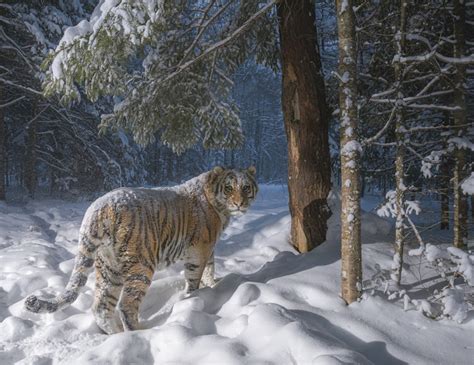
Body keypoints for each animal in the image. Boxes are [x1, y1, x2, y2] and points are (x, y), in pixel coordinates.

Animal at [24, 166, 258, 334]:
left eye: (246, 187)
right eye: (229, 188)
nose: (239, 203)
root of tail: (98, 209)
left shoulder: (208, 250)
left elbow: (210, 268)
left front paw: (212, 285)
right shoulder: (199, 251)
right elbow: (195, 277)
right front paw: (195, 296)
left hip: (109, 268)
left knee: (101, 307)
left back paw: (117, 335)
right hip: (141, 265)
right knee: (126, 305)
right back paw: (140, 333)